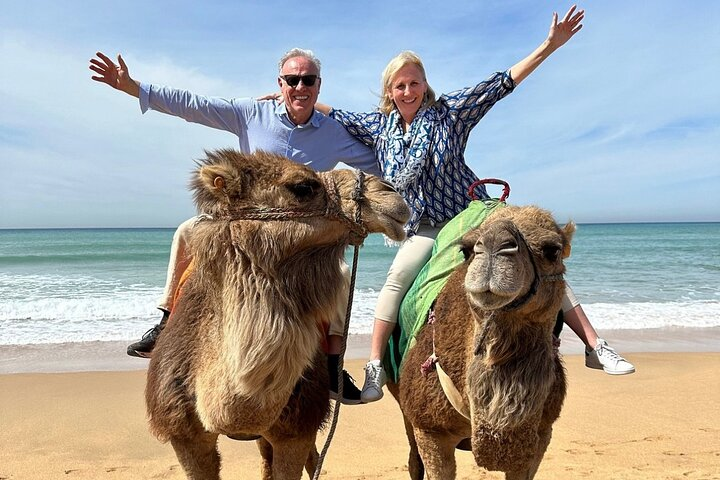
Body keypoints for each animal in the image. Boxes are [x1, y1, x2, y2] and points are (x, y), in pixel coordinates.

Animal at [387, 205, 575, 480]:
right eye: (465, 250)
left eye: (552, 250)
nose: (495, 245)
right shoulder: (429, 429)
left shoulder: (542, 433)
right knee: (413, 459)